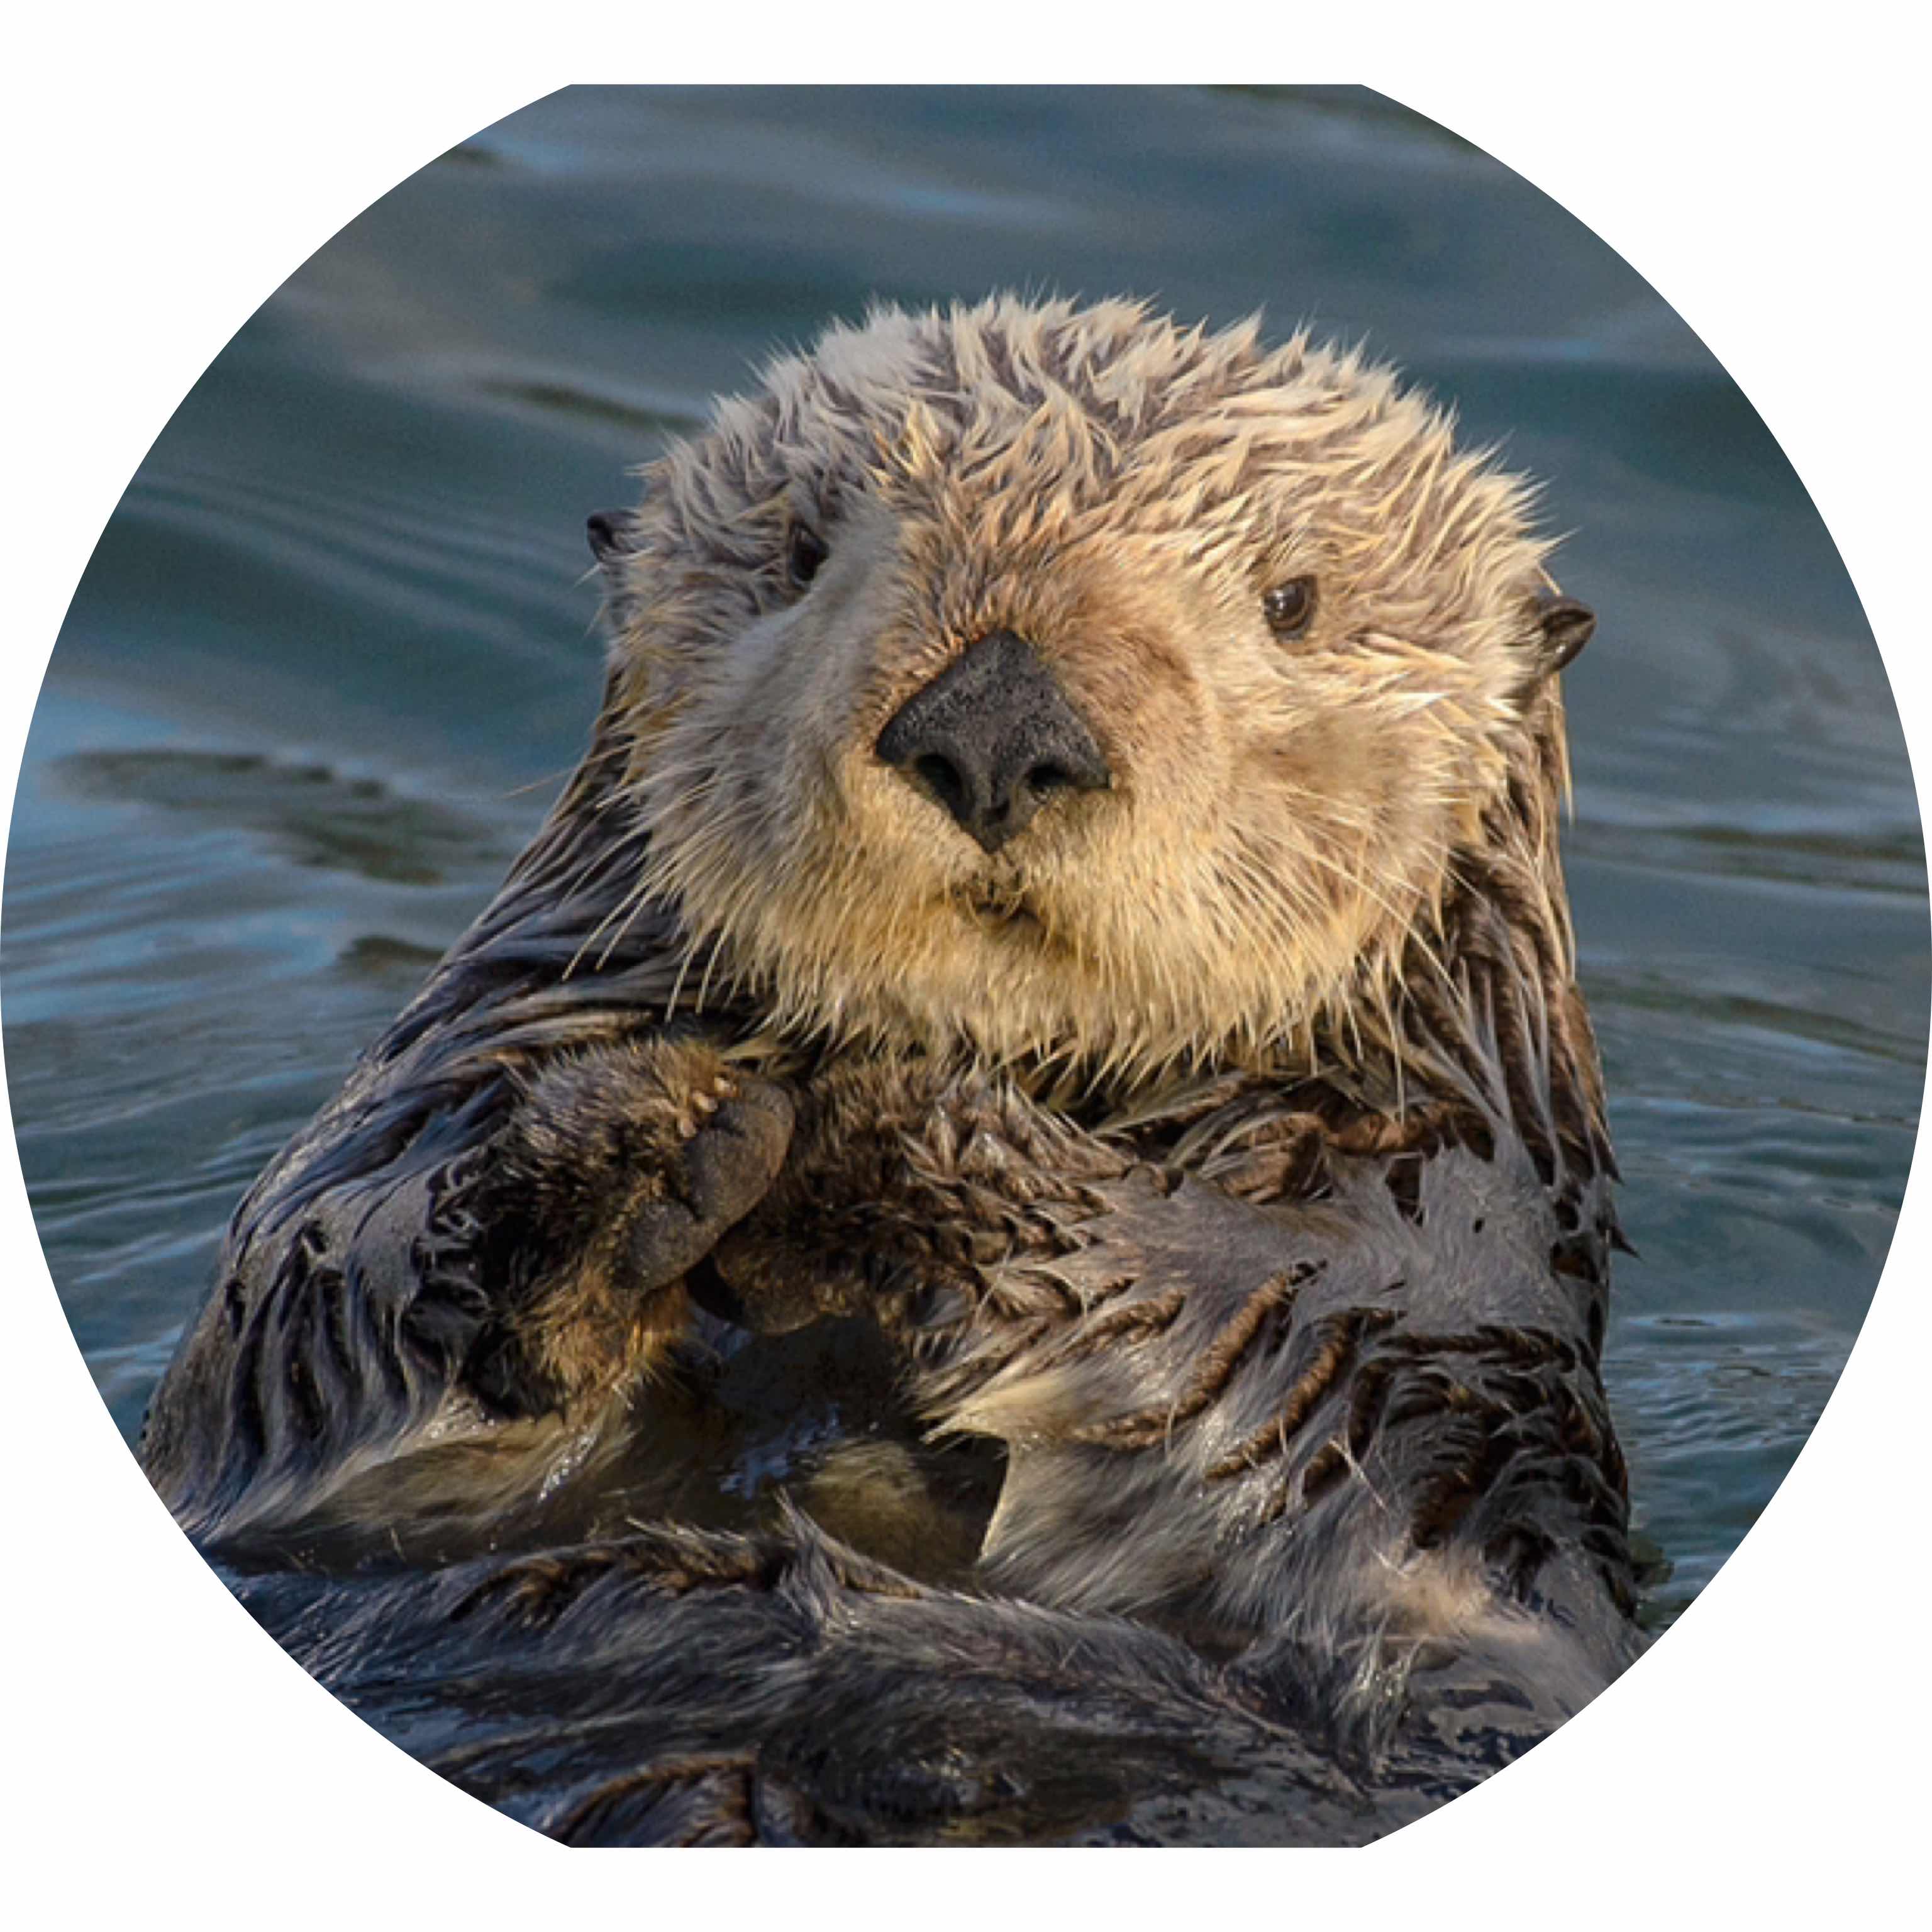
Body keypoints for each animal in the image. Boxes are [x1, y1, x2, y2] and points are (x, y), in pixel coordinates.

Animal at [140, 296, 1640, 1845]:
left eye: (1294, 601)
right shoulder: (413, 1130)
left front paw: (868, 1155)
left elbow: (1279, 1352)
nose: (994, 726)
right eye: (800, 552)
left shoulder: (1443, 1298)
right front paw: (642, 1149)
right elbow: (300, 1314)